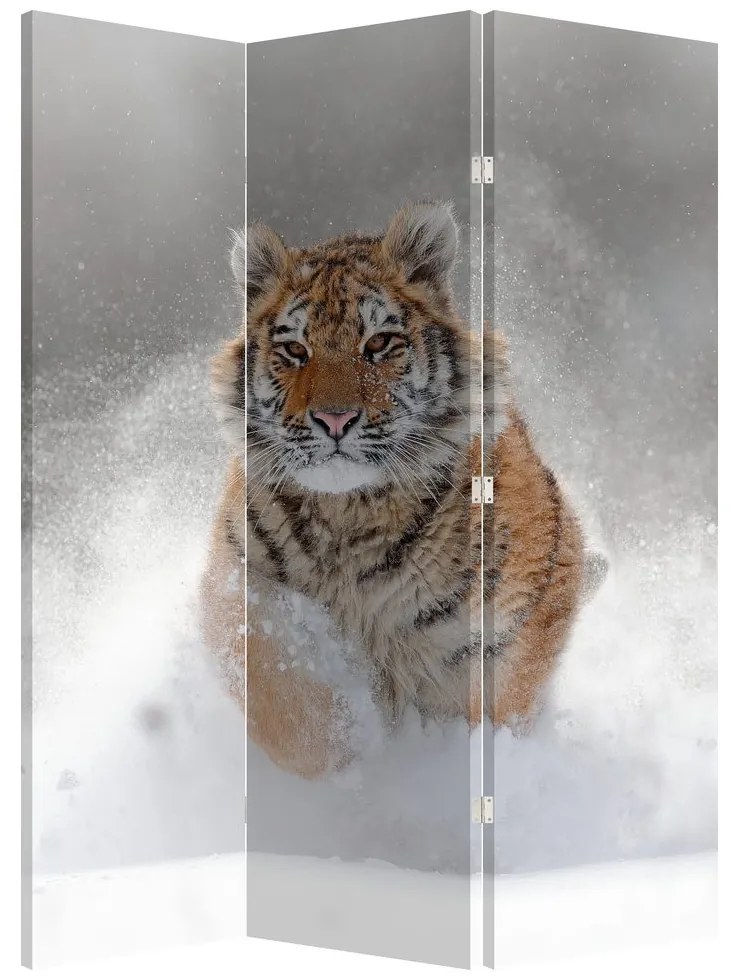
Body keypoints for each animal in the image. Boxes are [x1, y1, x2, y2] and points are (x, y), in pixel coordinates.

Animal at [200, 201, 597, 779]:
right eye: (295, 350)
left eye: (379, 343)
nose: (334, 419)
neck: (350, 516)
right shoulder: (241, 588)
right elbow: (288, 703)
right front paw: (350, 761)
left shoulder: (510, 622)